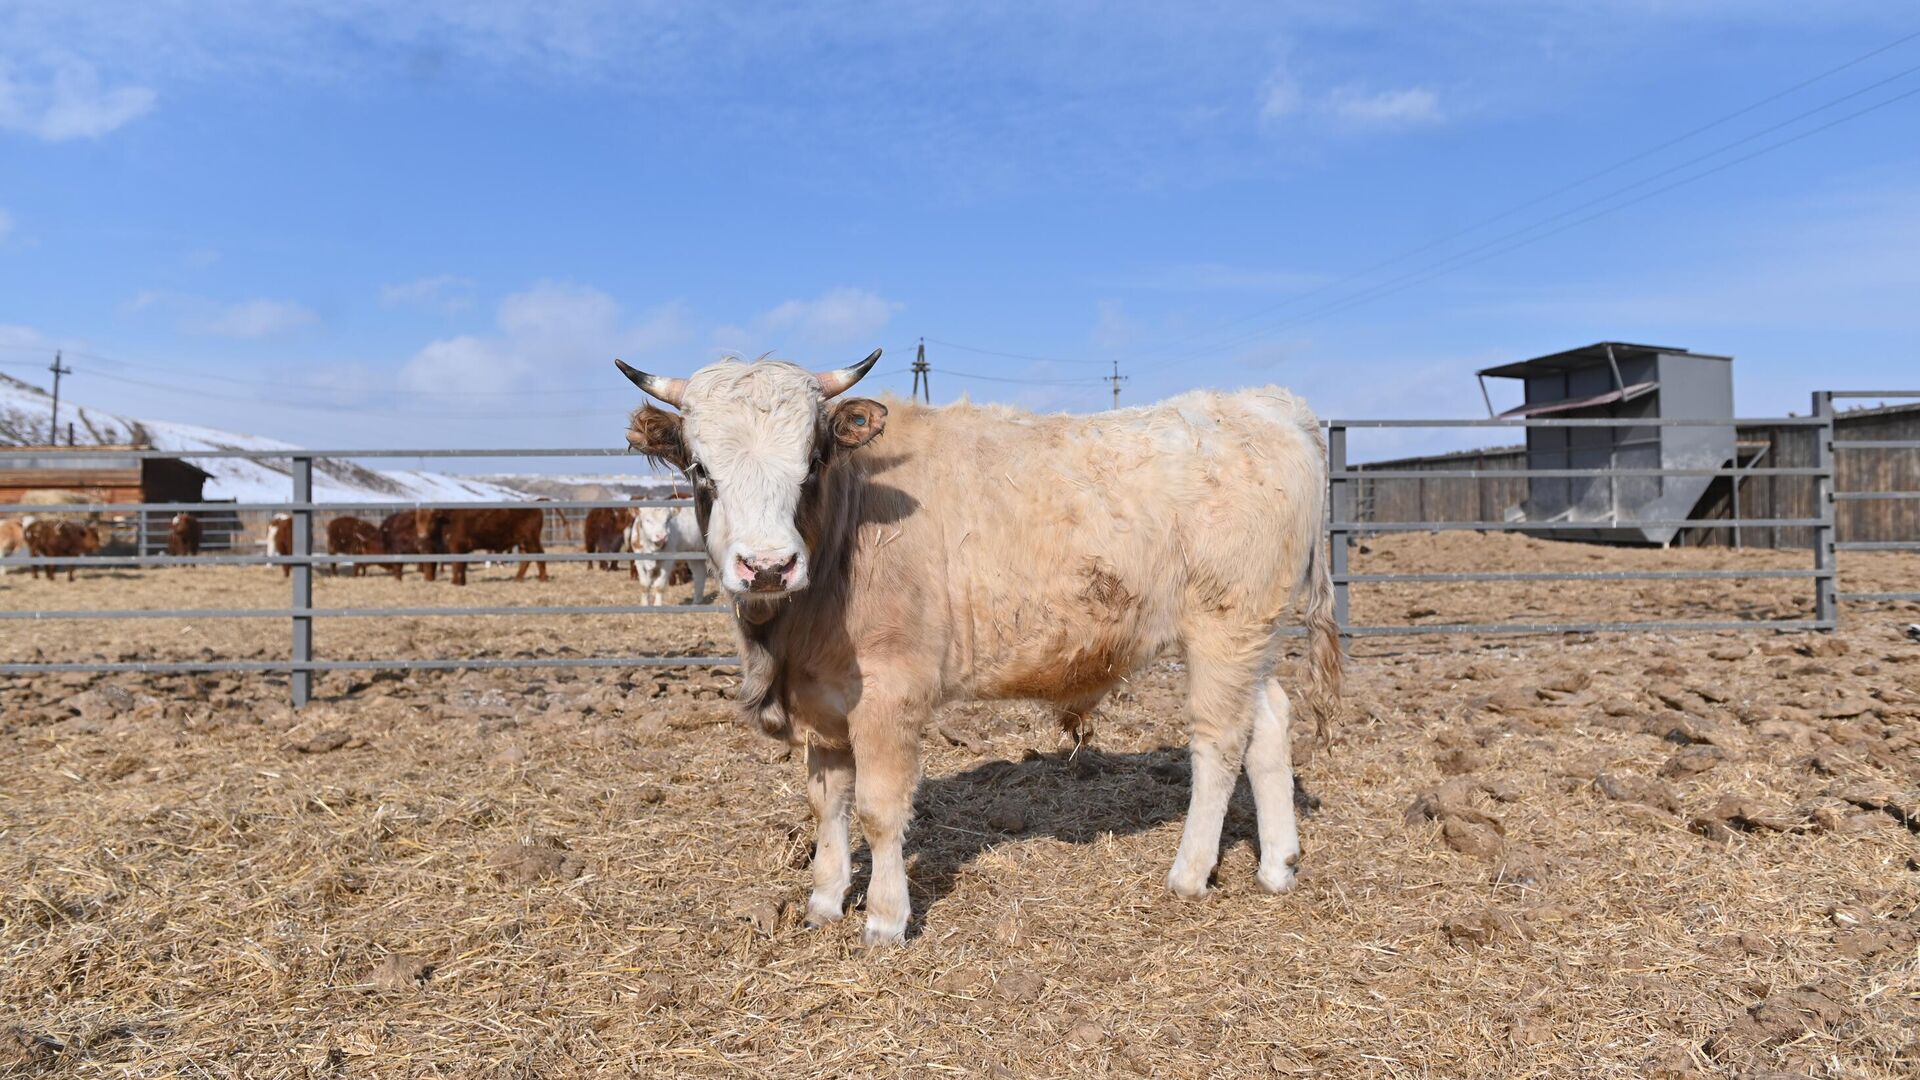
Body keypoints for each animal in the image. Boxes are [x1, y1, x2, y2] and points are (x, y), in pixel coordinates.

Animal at [414, 507, 549, 584]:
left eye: (431, 519)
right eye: (418, 520)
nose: (421, 535)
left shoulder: (457, 547)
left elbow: (457, 566)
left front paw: (455, 582)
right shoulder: (463, 550)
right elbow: (461, 566)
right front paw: (461, 582)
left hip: (531, 540)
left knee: (540, 555)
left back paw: (543, 579)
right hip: (523, 543)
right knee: (526, 559)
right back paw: (518, 579)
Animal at [614, 349, 1336, 937]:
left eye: (811, 462)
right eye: (700, 469)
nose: (767, 565)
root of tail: (1262, 403)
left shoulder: (890, 694)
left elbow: (879, 808)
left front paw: (885, 917)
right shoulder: (824, 699)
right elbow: (828, 802)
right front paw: (823, 901)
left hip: (1224, 627)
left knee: (1219, 741)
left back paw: (1188, 873)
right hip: (1249, 638)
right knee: (1269, 720)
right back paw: (1278, 864)